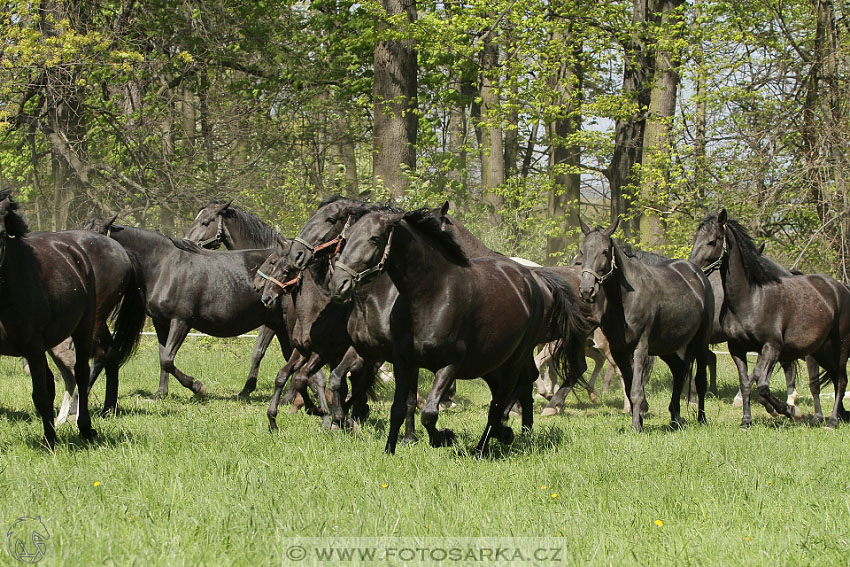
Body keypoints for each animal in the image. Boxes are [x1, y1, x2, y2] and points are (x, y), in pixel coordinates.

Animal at [0, 193, 144, 450]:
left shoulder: (36, 345)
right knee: (108, 355)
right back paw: (106, 408)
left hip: (91, 322)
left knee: (91, 362)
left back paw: (80, 416)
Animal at [85, 216, 292, 400]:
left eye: (93, 241)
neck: (164, 266)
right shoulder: (161, 322)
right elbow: (163, 357)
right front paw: (160, 393)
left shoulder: (181, 321)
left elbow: (167, 360)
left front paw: (197, 387)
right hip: (279, 326)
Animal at [326, 211, 588, 454]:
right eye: (346, 237)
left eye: (374, 238)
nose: (338, 284)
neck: (430, 295)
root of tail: (533, 278)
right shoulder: (402, 361)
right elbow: (398, 407)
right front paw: (389, 448)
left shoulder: (449, 365)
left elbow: (429, 412)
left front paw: (444, 437)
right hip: (490, 363)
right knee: (502, 396)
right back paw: (506, 433)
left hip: (514, 359)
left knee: (502, 400)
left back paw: (485, 446)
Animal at [580, 217, 712, 430]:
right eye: (582, 251)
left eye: (604, 251)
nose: (586, 290)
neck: (624, 299)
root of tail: (698, 274)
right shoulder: (619, 350)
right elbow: (629, 387)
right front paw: (639, 417)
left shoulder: (640, 348)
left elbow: (635, 390)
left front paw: (636, 425)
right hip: (666, 347)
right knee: (679, 370)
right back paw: (675, 416)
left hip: (700, 341)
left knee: (700, 380)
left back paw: (701, 418)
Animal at [688, 211, 848, 428]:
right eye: (696, 239)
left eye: (713, 241)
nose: (693, 269)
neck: (750, 298)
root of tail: (839, 287)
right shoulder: (737, 348)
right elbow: (747, 383)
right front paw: (746, 421)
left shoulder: (772, 347)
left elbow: (762, 385)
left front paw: (791, 410)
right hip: (820, 349)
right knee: (833, 376)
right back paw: (839, 415)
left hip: (839, 345)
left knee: (840, 379)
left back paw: (831, 421)